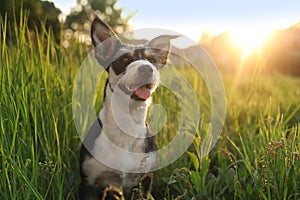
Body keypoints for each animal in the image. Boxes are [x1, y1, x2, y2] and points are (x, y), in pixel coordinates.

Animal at [79, 16, 178, 198]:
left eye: (152, 61)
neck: (126, 124)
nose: (147, 68)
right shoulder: (88, 182)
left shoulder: (144, 182)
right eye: (124, 60)